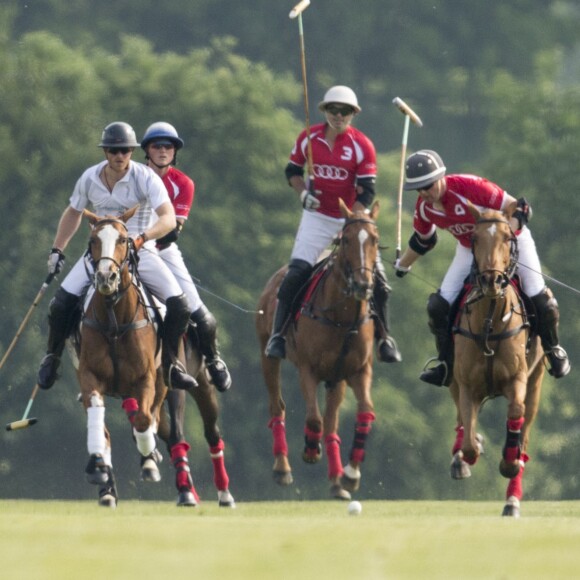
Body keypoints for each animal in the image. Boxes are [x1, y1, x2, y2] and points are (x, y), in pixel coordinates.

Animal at [258, 199, 380, 498]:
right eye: (346, 240)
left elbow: (365, 412)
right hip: (267, 353)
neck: (342, 317)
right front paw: (311, 451)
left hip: (336, 379)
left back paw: (337, 482)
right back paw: (283, 468)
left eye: (375, 239)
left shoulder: (358, 370)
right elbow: (314, 419)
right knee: (277, 405)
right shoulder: (308, 369)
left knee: (331, 423)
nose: (363, 285)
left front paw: (351, 474)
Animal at [448, 203, 548, 516]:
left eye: (507, 237)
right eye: (475, 238)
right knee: (461, 420)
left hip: (536, 383)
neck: (490, 321)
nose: (492, 280)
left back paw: (512, 500)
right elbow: (468, 437)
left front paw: (508, 461)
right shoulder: (467, 385)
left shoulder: (517, 379)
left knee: (524, 434)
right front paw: (470, 453)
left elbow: (515, 413)